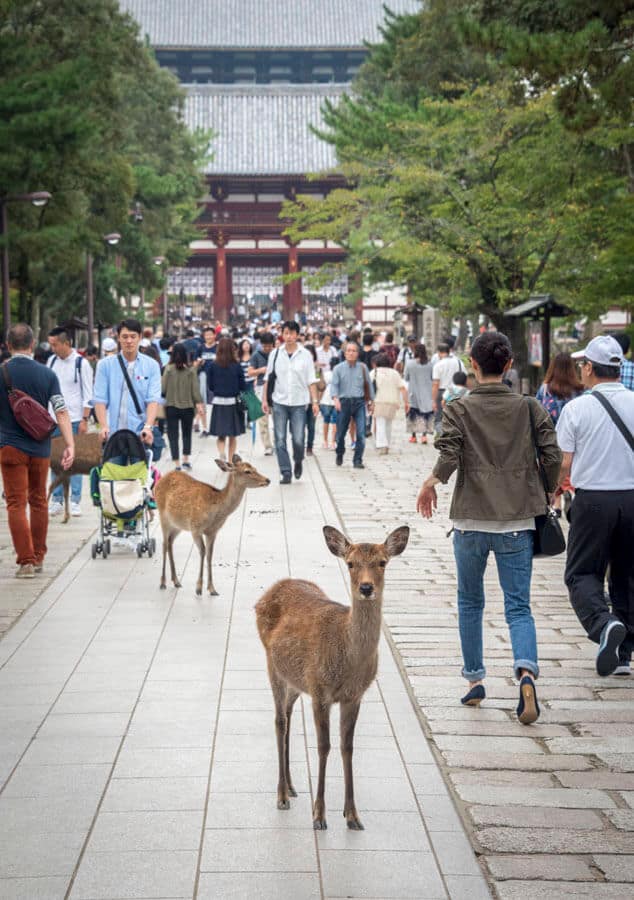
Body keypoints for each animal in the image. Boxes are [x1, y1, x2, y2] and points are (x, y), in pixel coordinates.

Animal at [157, 458, 270, 596]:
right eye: (247, 471)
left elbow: (210, 554)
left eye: (255, 468)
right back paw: (163, 583)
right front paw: (199, 588)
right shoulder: (195, 528)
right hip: (163, 516)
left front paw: (212, 589)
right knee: (164, 544)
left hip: (178, 525)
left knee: (170, 542)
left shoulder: (213, 531)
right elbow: (203, 552)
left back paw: (176, 581)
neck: (216, 512)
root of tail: (160, 480)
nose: (267, 480)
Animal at [253, 524, 408, 832]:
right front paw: (319, 816)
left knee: (288, 715)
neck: (349, 661)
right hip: (273, 666)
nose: (366, 588)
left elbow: (347, 747)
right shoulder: (320, 691)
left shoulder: (354, 696)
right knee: (279, 721)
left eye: (382, 562)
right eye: (350, 563)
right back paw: (281, 796)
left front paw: (353, 816)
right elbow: (323, 746)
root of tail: (272, 589)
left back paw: (292, 787)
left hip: (296, 679)